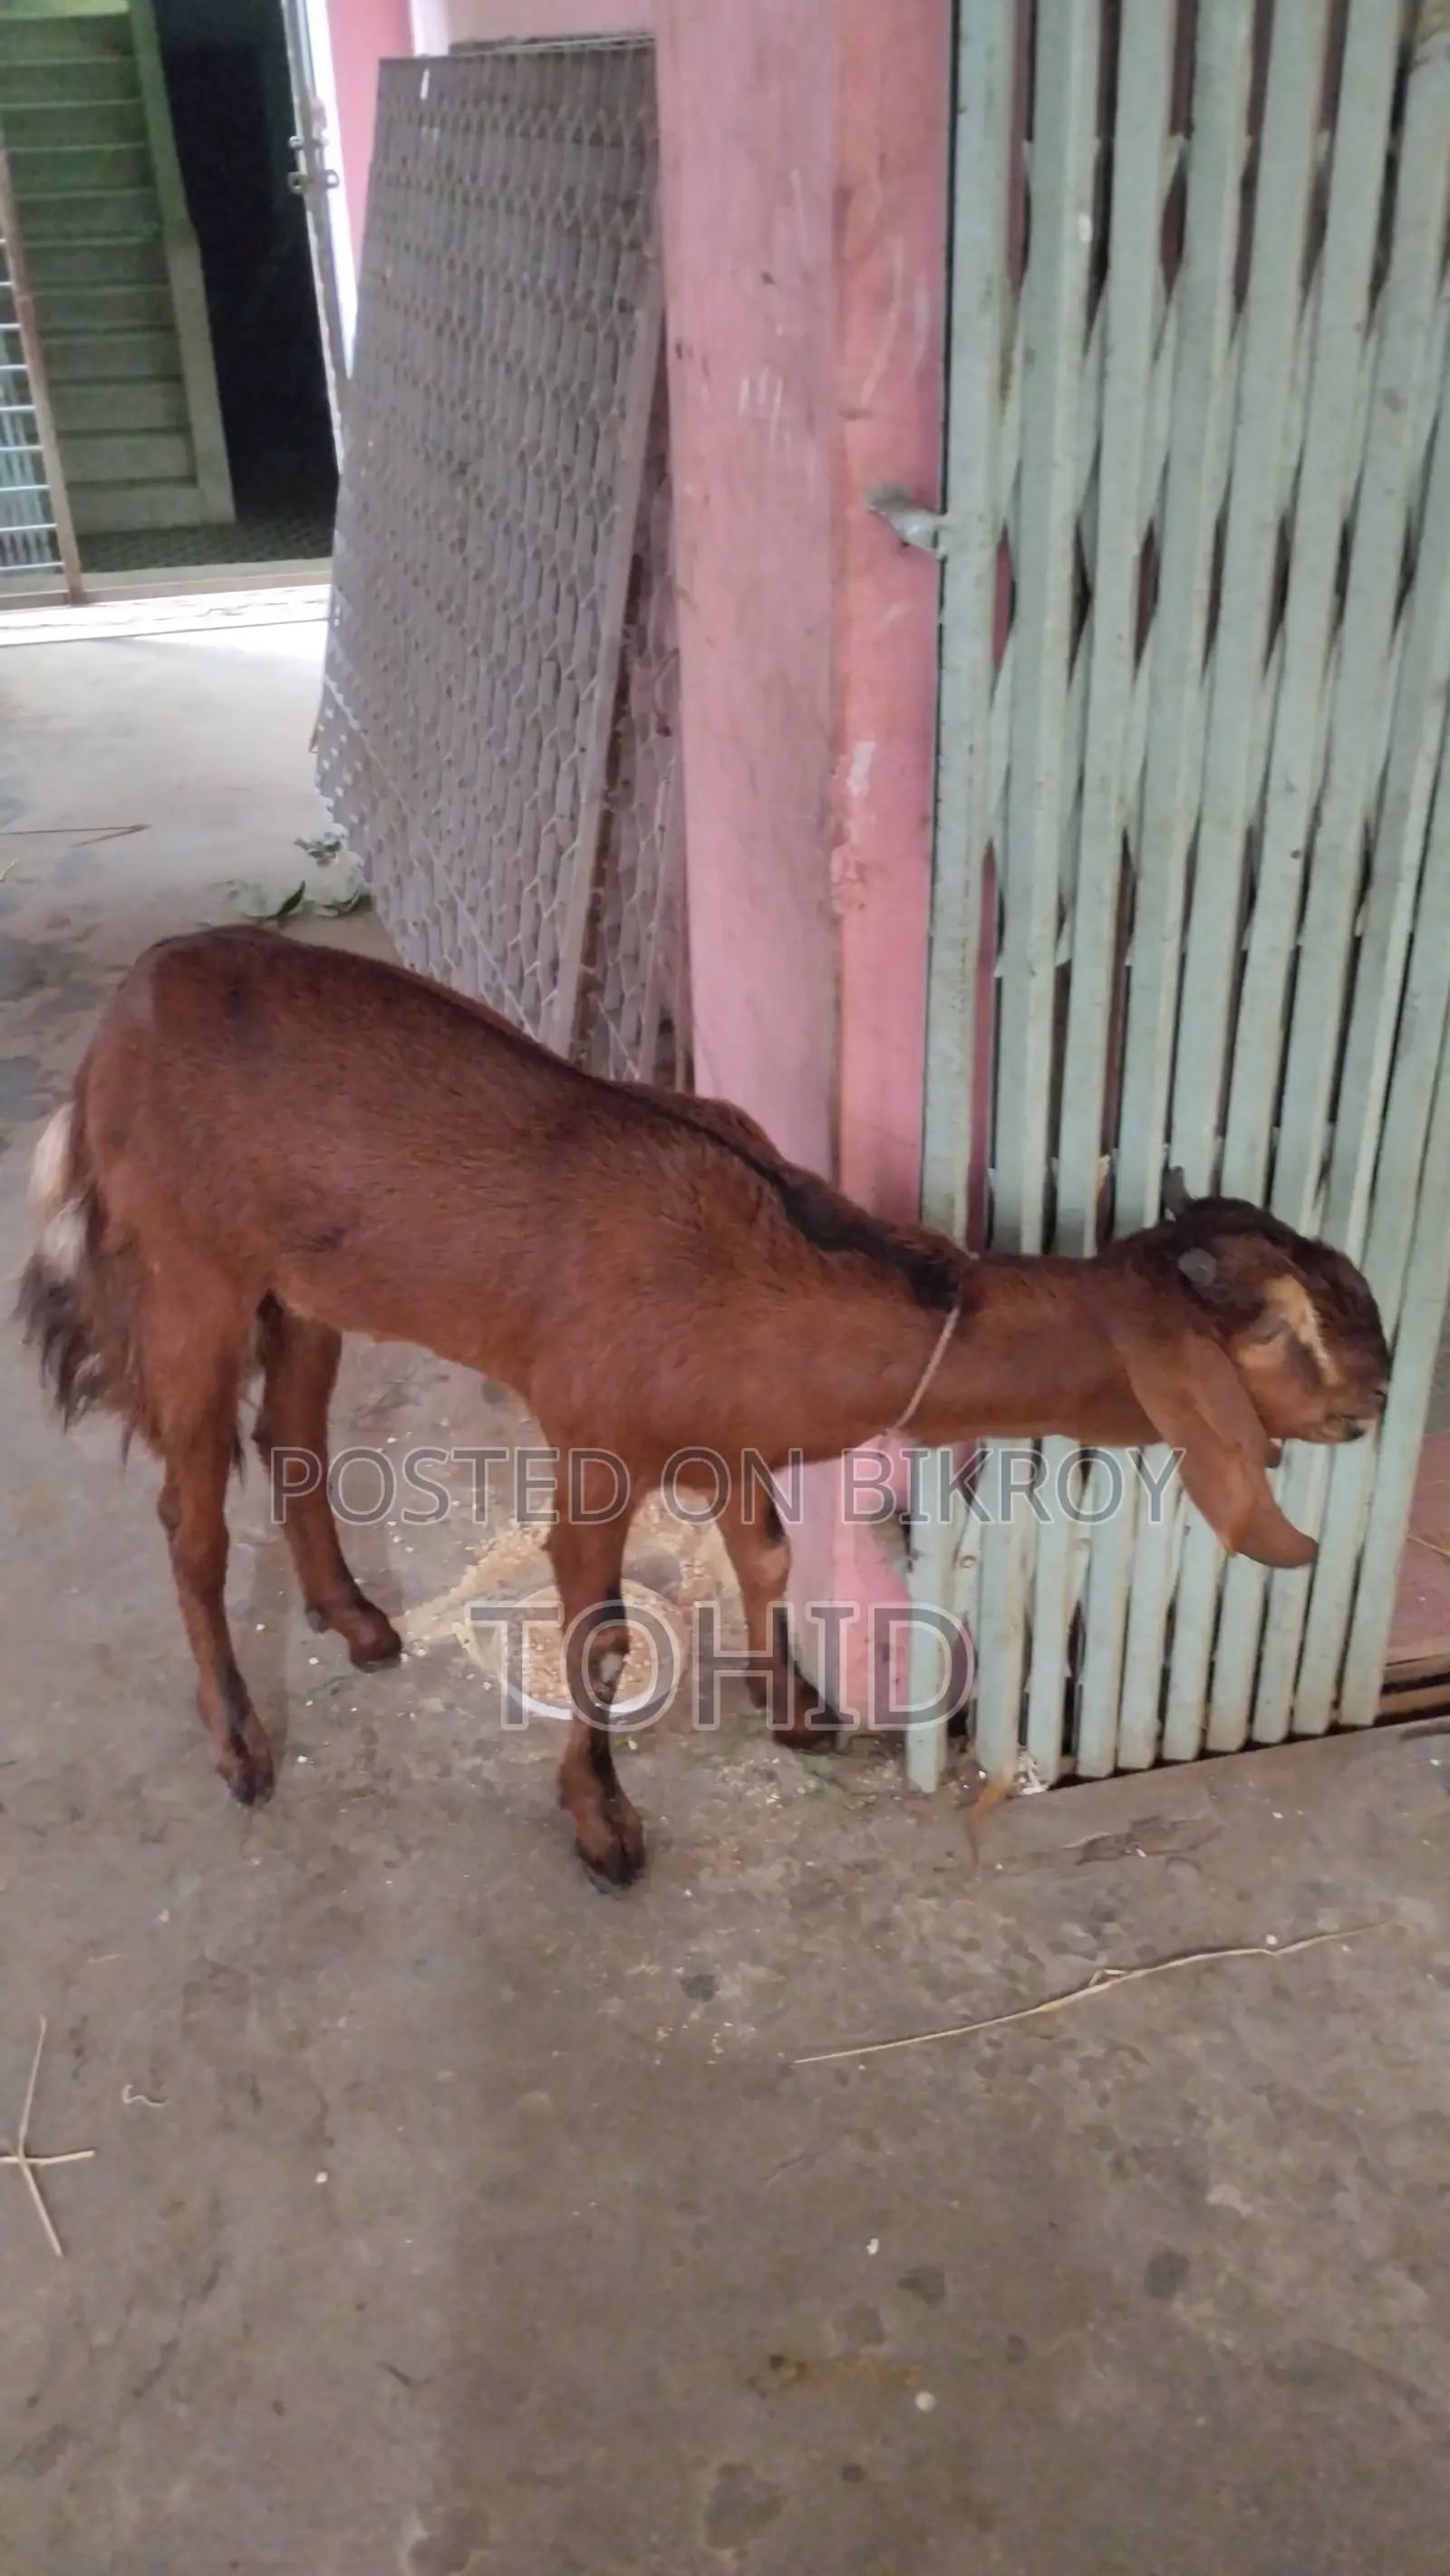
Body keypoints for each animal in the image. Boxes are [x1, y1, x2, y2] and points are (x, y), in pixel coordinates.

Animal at [17, 928, 1389, 1888]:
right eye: (1284, 1331)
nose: (1379, 1394)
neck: (776, 1260)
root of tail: (118, 1021)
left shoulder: (731, 1438)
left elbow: (768, 1555)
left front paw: (797, 1715)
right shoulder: (592, 1436)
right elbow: (601, 1628)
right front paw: (603, 1821)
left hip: (299, 1284)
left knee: (290, 1434)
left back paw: (353, 1618)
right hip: (181, 1266)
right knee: (191, 1510)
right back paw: (242, 1745)